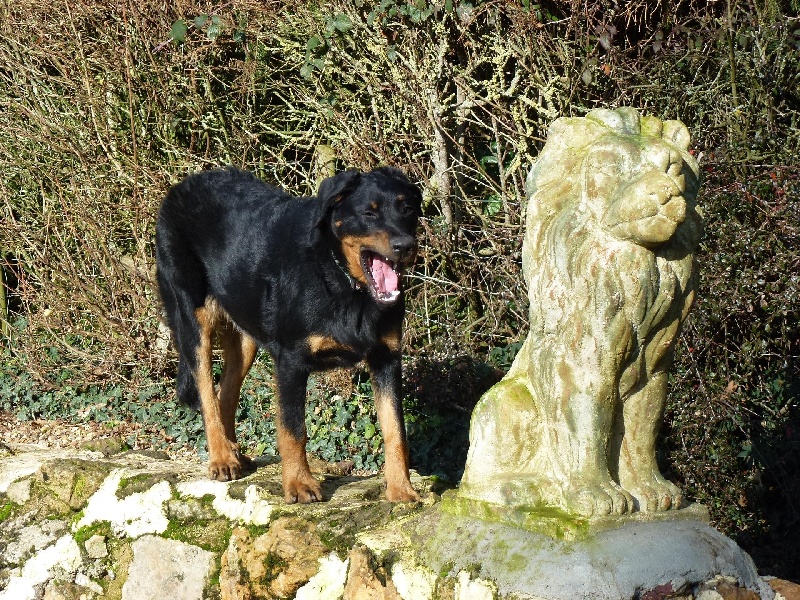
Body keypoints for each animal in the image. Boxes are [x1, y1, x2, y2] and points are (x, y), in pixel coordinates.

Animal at [152, 166, 422, 504]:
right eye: (368, 213)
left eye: (407, 209)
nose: (405, 245)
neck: (343, 281)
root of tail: (182, 186)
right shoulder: (292, 361)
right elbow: (293, 429)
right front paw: (299, 484)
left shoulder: (386, 359)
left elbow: (395, 429)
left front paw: (401, 488)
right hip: (193, 320)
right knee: (207, 397)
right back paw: (222, 458)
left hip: (245, 337)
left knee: (225, 394)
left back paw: (234, 454)